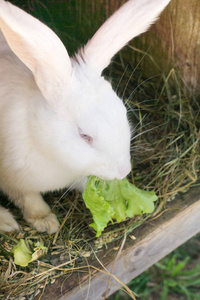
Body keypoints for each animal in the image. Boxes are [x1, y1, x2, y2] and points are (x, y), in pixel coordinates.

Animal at [0, 0, 171, 233]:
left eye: (124, 113)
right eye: (85, 136)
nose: (123, 171)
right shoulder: (14, 180)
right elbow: (29, 200)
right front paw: (46, 222)